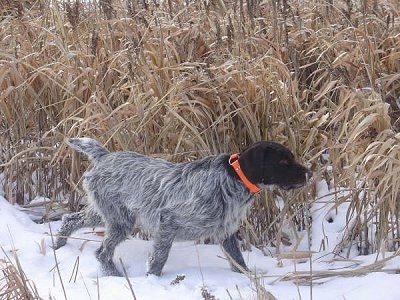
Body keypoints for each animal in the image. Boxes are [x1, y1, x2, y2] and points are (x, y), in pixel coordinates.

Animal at [53, 138, 312, 276]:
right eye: (283, 161)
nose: (309, 173)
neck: (232, 180)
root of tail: (104, 156)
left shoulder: (225, 231)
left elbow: (238, 261)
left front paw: (249, 279)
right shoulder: (168, 222)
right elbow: (159, 258)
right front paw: (152, 279)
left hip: (107, 214)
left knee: (70, 219)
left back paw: (59, 246)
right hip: (120, 221)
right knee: (102, 252)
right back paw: (115, 276)